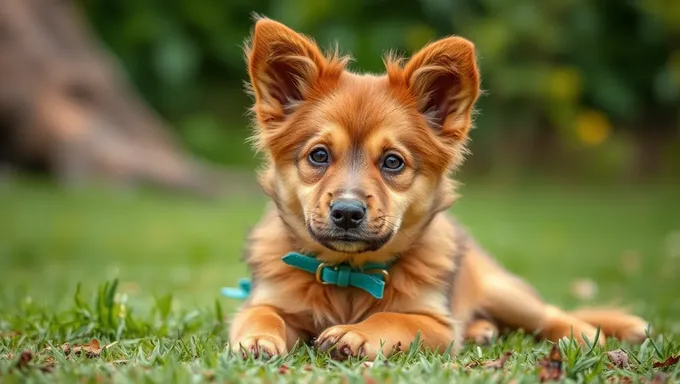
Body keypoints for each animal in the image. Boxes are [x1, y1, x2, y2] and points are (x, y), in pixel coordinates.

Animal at [227, 17, 648, 360]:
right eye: (318, 155)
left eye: (392, 162)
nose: (346, 213)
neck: (349, 274)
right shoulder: (266, 298)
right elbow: (260, 314)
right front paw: (257, 339)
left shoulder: (437, 323)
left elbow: (393, 319)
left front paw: (355, 335)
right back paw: (482, 330)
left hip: (502, 289)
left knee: (550, 314)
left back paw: (588, 333)